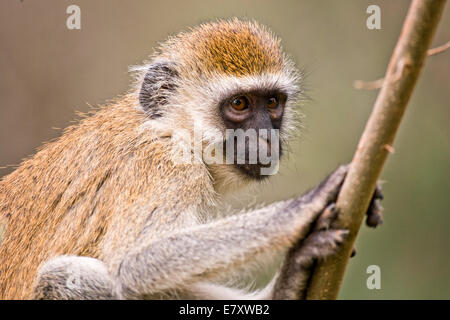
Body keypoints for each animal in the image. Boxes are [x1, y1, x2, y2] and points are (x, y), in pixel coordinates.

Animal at [0, 18, 384, 300]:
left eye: (272, 103)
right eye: (240, 104)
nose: (266, 138)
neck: (172, 128)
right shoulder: (165, 166)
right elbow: (136, 263)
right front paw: (302, 209)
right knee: (63, 277)